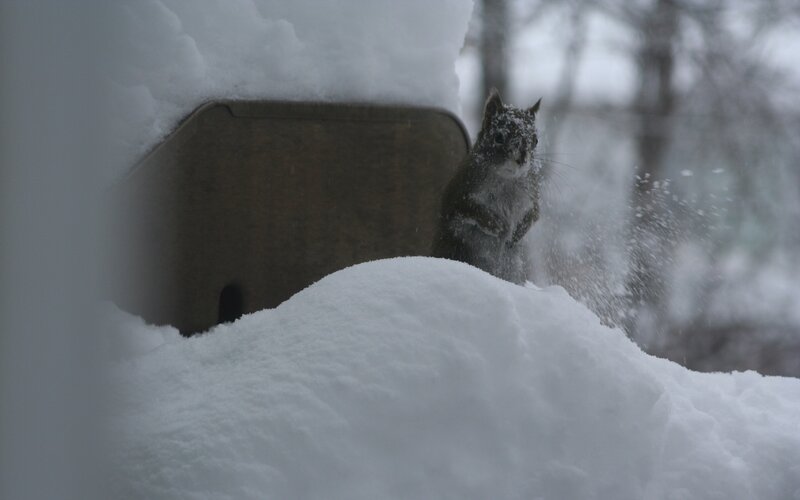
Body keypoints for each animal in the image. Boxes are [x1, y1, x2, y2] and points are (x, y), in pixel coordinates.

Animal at [432, 89, 542, 285]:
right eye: (498, 137)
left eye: (536, 140)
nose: (522, 159)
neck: (507, 179)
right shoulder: (460, 195)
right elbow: (471, 210)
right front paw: (500, 227)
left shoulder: (532, 195)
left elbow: (534, 213)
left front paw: (517, 233)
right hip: (457, 250)